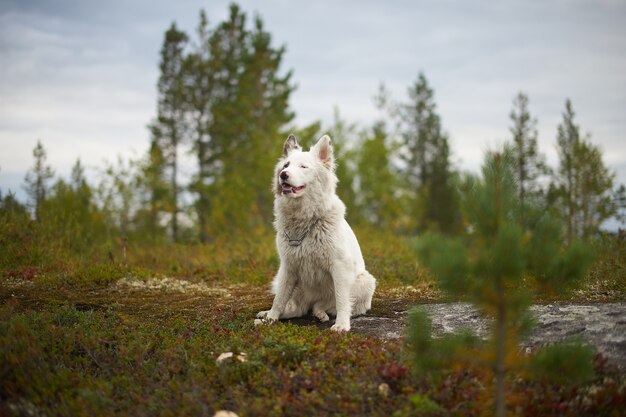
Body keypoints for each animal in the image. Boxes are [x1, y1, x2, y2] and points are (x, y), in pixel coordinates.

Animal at [255, 135, 376, 330]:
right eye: (286, 165)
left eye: (303, 166)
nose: (283, 174)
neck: (305, 221)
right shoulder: (288, 267)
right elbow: (279, 300)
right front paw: (270, 319)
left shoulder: (339, 267)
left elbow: (342, 300)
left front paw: (342, 325)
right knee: (297, 308)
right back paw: (267, 316)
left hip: (365, 281)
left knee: (324, 305)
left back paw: (321, 314)